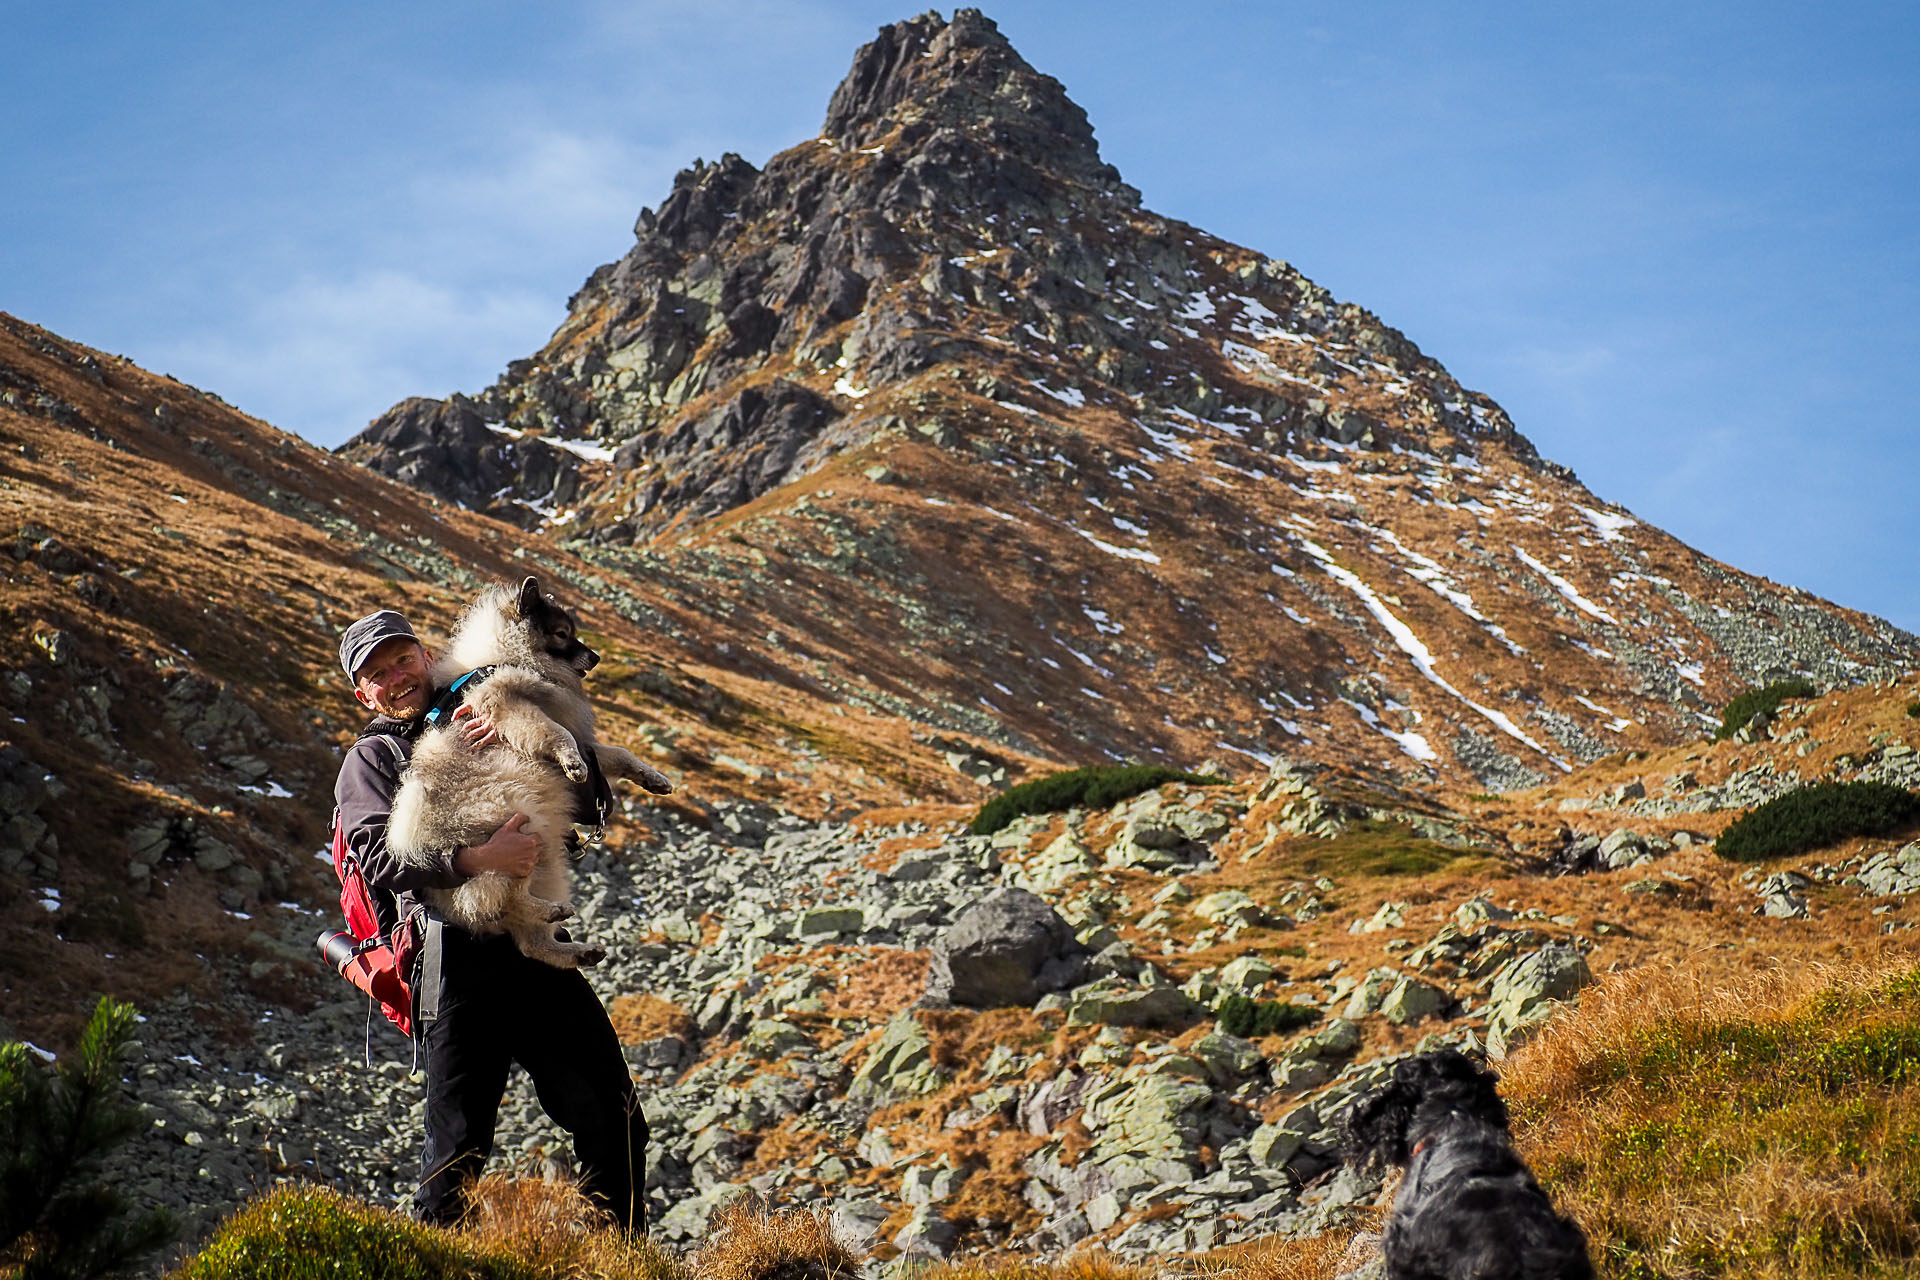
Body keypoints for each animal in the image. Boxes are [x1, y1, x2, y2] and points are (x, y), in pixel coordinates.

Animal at [385, 575, 672, 967]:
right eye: (562, 633)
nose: (597, 657)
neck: (507, 655)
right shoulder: (509, 705)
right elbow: (558, 734)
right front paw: (572, 762)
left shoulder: (586, 740)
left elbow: (617, 754)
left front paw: (653, 779)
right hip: (521, 831)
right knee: (504, 899)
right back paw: (550, 912)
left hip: (544, 858)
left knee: (529, 941)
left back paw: (579, 948)